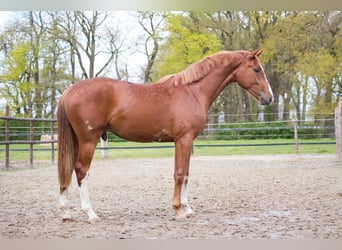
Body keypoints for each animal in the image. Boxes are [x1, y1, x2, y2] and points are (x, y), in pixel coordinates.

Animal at [58, 48, 272, 223]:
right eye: (256, 70)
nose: (269, 98)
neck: (192, 91)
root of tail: (68, 92)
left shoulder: (187, 142)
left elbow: (186, 174)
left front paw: (187, 208)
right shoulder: (183, 140)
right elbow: (179, 173)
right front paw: (178, 210)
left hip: (78, 140)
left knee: (68, 169)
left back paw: (66, 213)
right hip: (89, 140)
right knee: (81, 170)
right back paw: (90, 213)